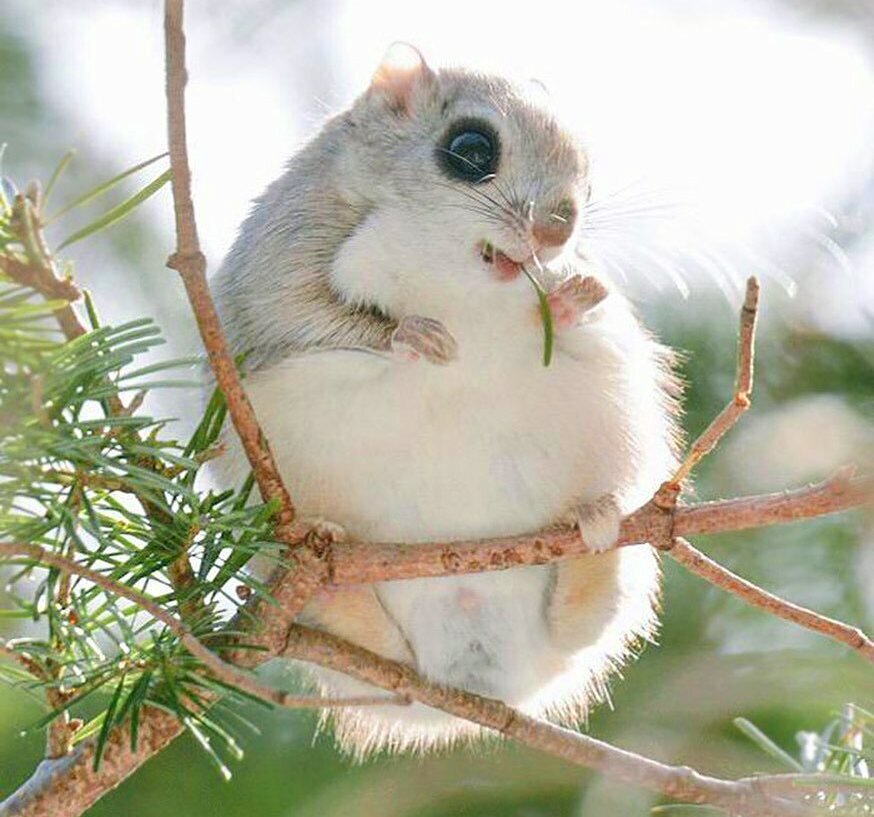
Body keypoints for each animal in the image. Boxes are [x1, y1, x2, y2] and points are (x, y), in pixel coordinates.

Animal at [210, 43, 681, 757]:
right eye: (470, 149)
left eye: (588, 174)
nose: (557, 229)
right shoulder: (279, 262)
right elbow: (306, 312)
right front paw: (412, 336)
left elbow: (576, 308)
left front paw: (576, 295)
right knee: (361, 637)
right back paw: (326, 563)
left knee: (582, 623)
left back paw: (594, 528)